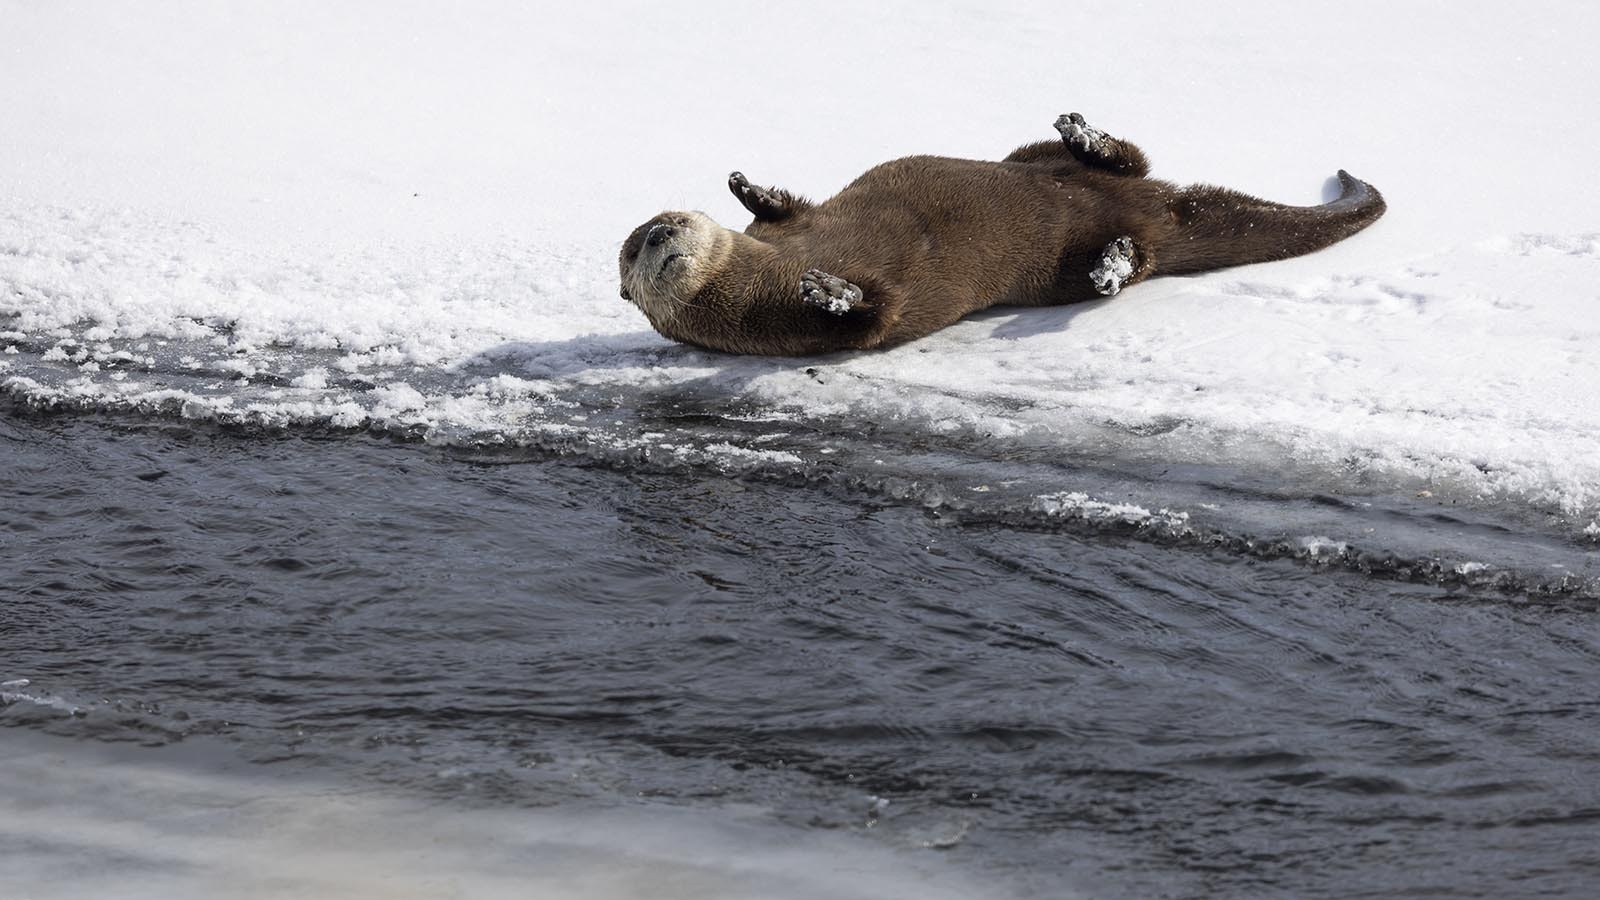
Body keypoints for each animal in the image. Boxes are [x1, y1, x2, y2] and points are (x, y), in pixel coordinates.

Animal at [617, 115, 1382, 357]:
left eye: (661, 226)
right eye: (635, 256)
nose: (658, 236)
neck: (758, 278)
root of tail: (1163, 211)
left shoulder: (791, 227)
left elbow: (786, 206)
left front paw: (745, 186)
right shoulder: (785, 330)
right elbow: (873, 315)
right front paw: (828, 291)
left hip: (1027, 159)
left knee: (1125, 159)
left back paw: (1085, 135)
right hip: (1067, 266)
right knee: (1131, 258)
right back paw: (1112, 264)